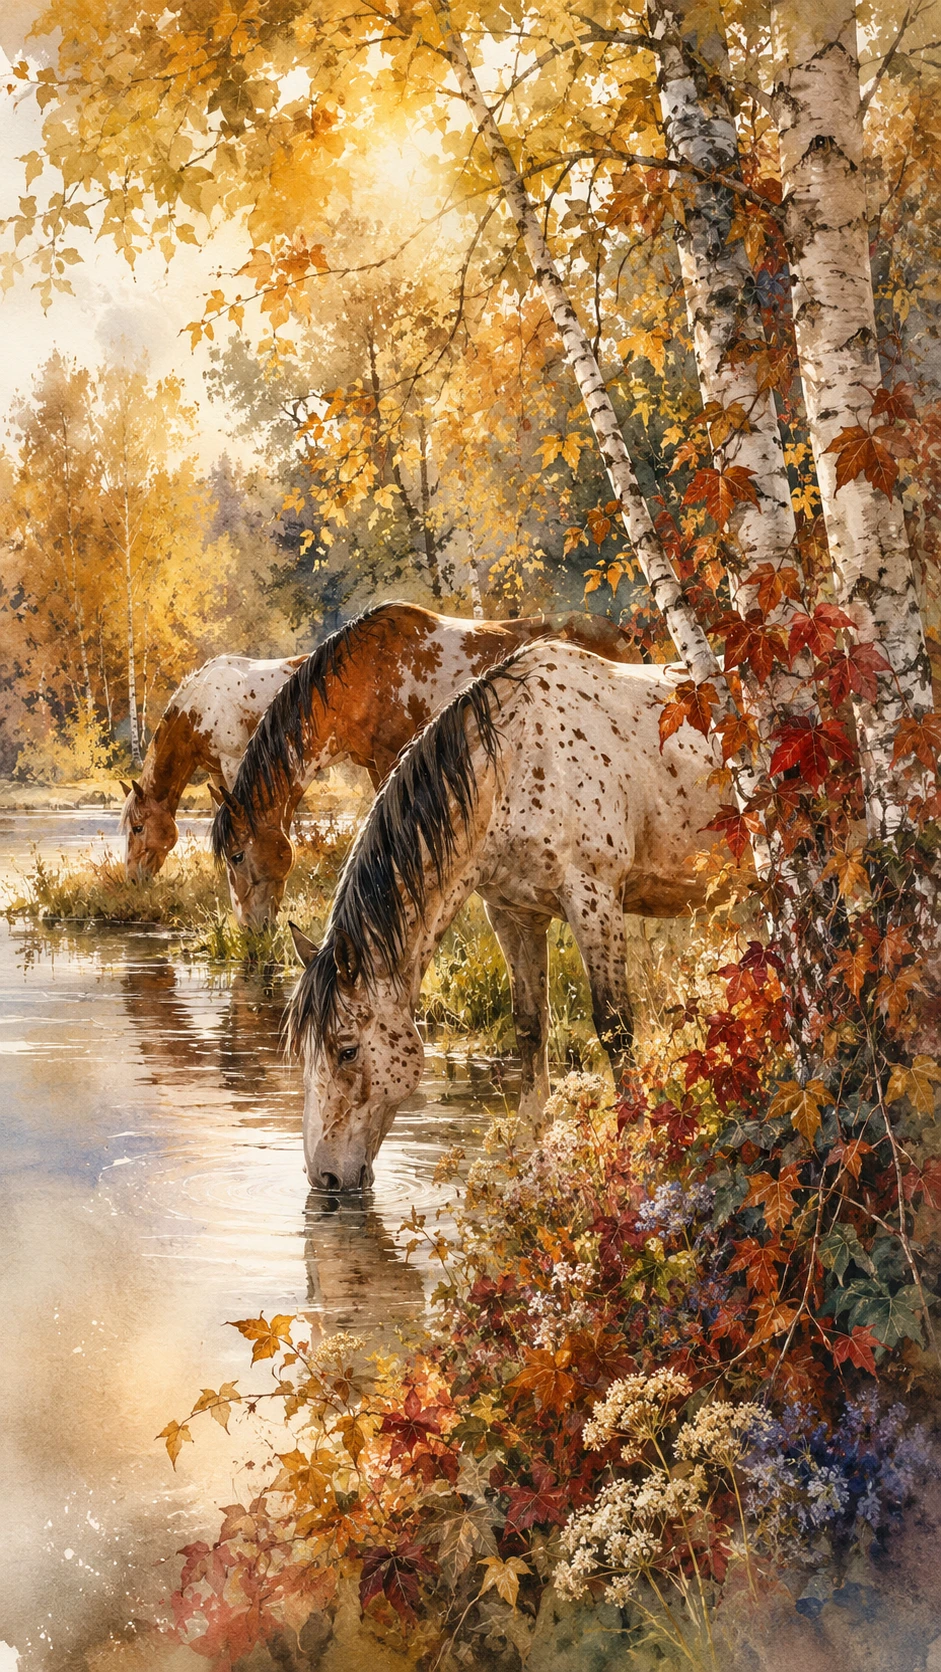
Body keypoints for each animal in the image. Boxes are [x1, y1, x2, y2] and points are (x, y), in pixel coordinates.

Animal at [119, 654, 307, 880]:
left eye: (138, 828)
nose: (132, 879)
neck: (200, 706)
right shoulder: (216, 772)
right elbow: (220, 811)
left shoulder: (233, 763)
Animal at [209, 601, 640, 927]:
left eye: (237, 856)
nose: (251, 927)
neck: (363, 674)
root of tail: (626, 638)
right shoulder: (376, 763)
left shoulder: (393, 758)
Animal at [284, 640, 724, 1190]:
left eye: (347, 1050)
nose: (325, 1178)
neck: (520, 760)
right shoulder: (514, 914)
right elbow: (530, 1026)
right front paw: (533, 1142)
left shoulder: (594, 897)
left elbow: (615, 1026)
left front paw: (637, 1145)